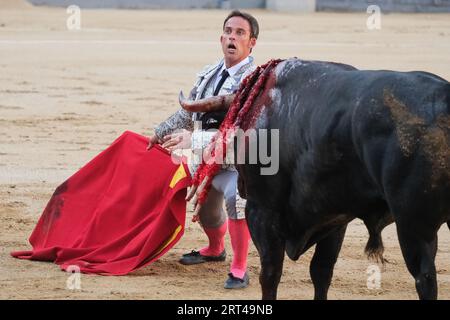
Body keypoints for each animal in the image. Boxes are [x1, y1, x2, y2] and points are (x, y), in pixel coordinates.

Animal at [184, 58, 450, 302]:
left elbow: (270, 273)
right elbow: (321, 271)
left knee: (425, 279)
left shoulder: (262, 210)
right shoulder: (335, 217)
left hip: (414, 226)